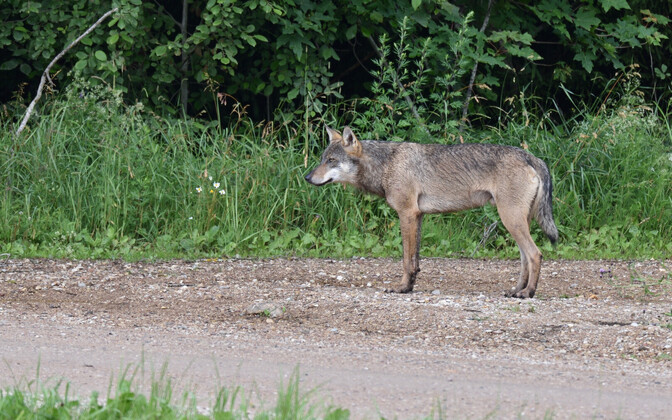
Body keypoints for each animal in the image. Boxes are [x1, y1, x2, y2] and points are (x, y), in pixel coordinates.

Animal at [305, 125, 558, 298]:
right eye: (322, 159)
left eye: (331, 160)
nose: (307, 177)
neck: (386, 165)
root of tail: (532, 157)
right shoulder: (418, 216)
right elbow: (415, 260)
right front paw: (409, 287)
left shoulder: (407, 214)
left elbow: (406, 260)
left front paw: (401, 287)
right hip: (516, 222)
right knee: (525, 259)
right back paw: (516, 290)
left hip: (511, 220)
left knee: (535, 254)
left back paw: (528, 293)